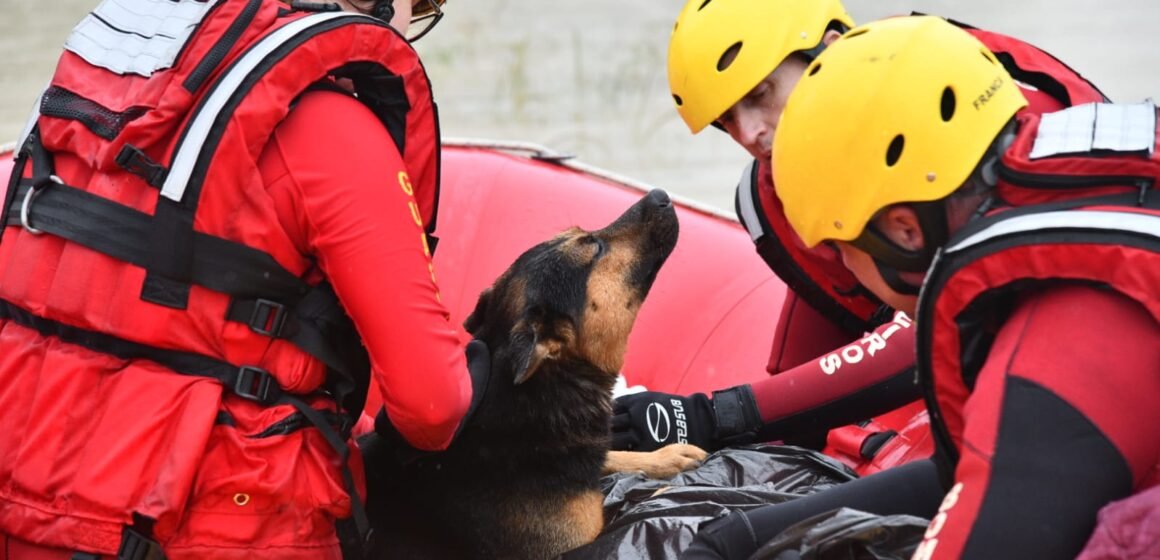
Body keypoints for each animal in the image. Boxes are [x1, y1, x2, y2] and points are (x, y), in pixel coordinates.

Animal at [361, 190, 705, 558]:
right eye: (595, 246)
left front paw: (664, 457)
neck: (544, 389)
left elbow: (611, 457)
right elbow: (638, 507)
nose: (660, 195)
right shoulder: (581, 544)